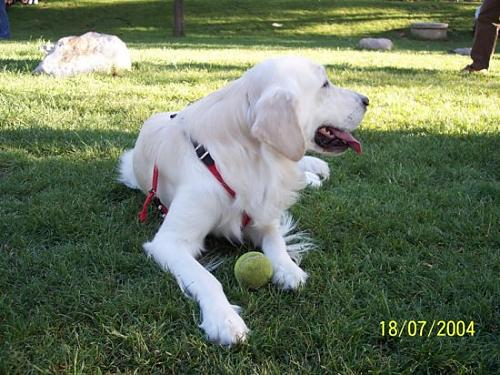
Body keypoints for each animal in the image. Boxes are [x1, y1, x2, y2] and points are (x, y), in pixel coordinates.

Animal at [117, 54, 368, 346]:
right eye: (325, 84)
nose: (366, 100)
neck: (246, 156)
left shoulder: (263, 215)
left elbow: (277, 244)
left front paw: (288, 270)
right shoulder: (169, 242)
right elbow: (207, 278)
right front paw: (224, 319)